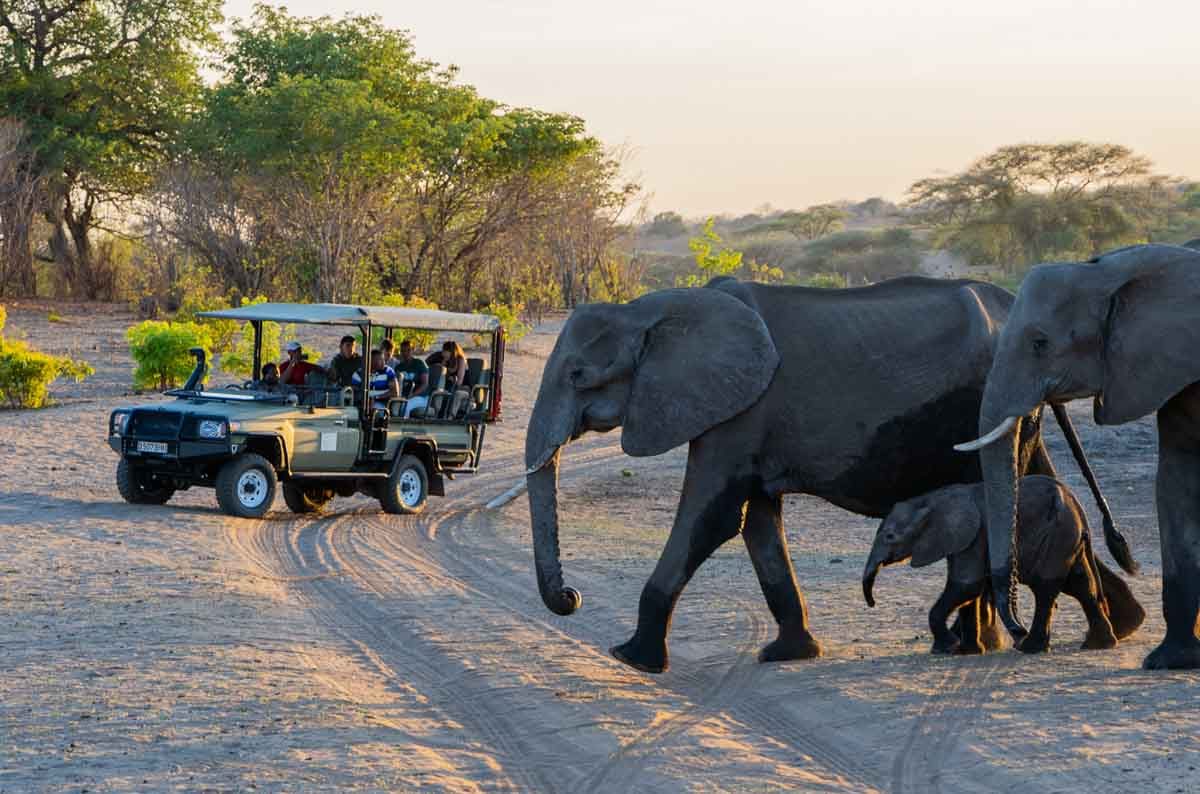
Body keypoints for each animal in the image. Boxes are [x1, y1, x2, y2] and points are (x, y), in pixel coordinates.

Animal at [863, 475, 1144, 655]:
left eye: (889, 536)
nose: (872, 603)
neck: (931, 499)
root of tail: (1077, 506)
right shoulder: (965, 539)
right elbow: (969, 591)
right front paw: (965, 651)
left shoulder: (974, 536)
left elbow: (966, 586)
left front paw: (947, 647)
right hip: (1066, 538)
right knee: (1079, 585)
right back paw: (1098, 645)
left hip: (1057, 536)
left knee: (1047, 587)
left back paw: (1030, 648)